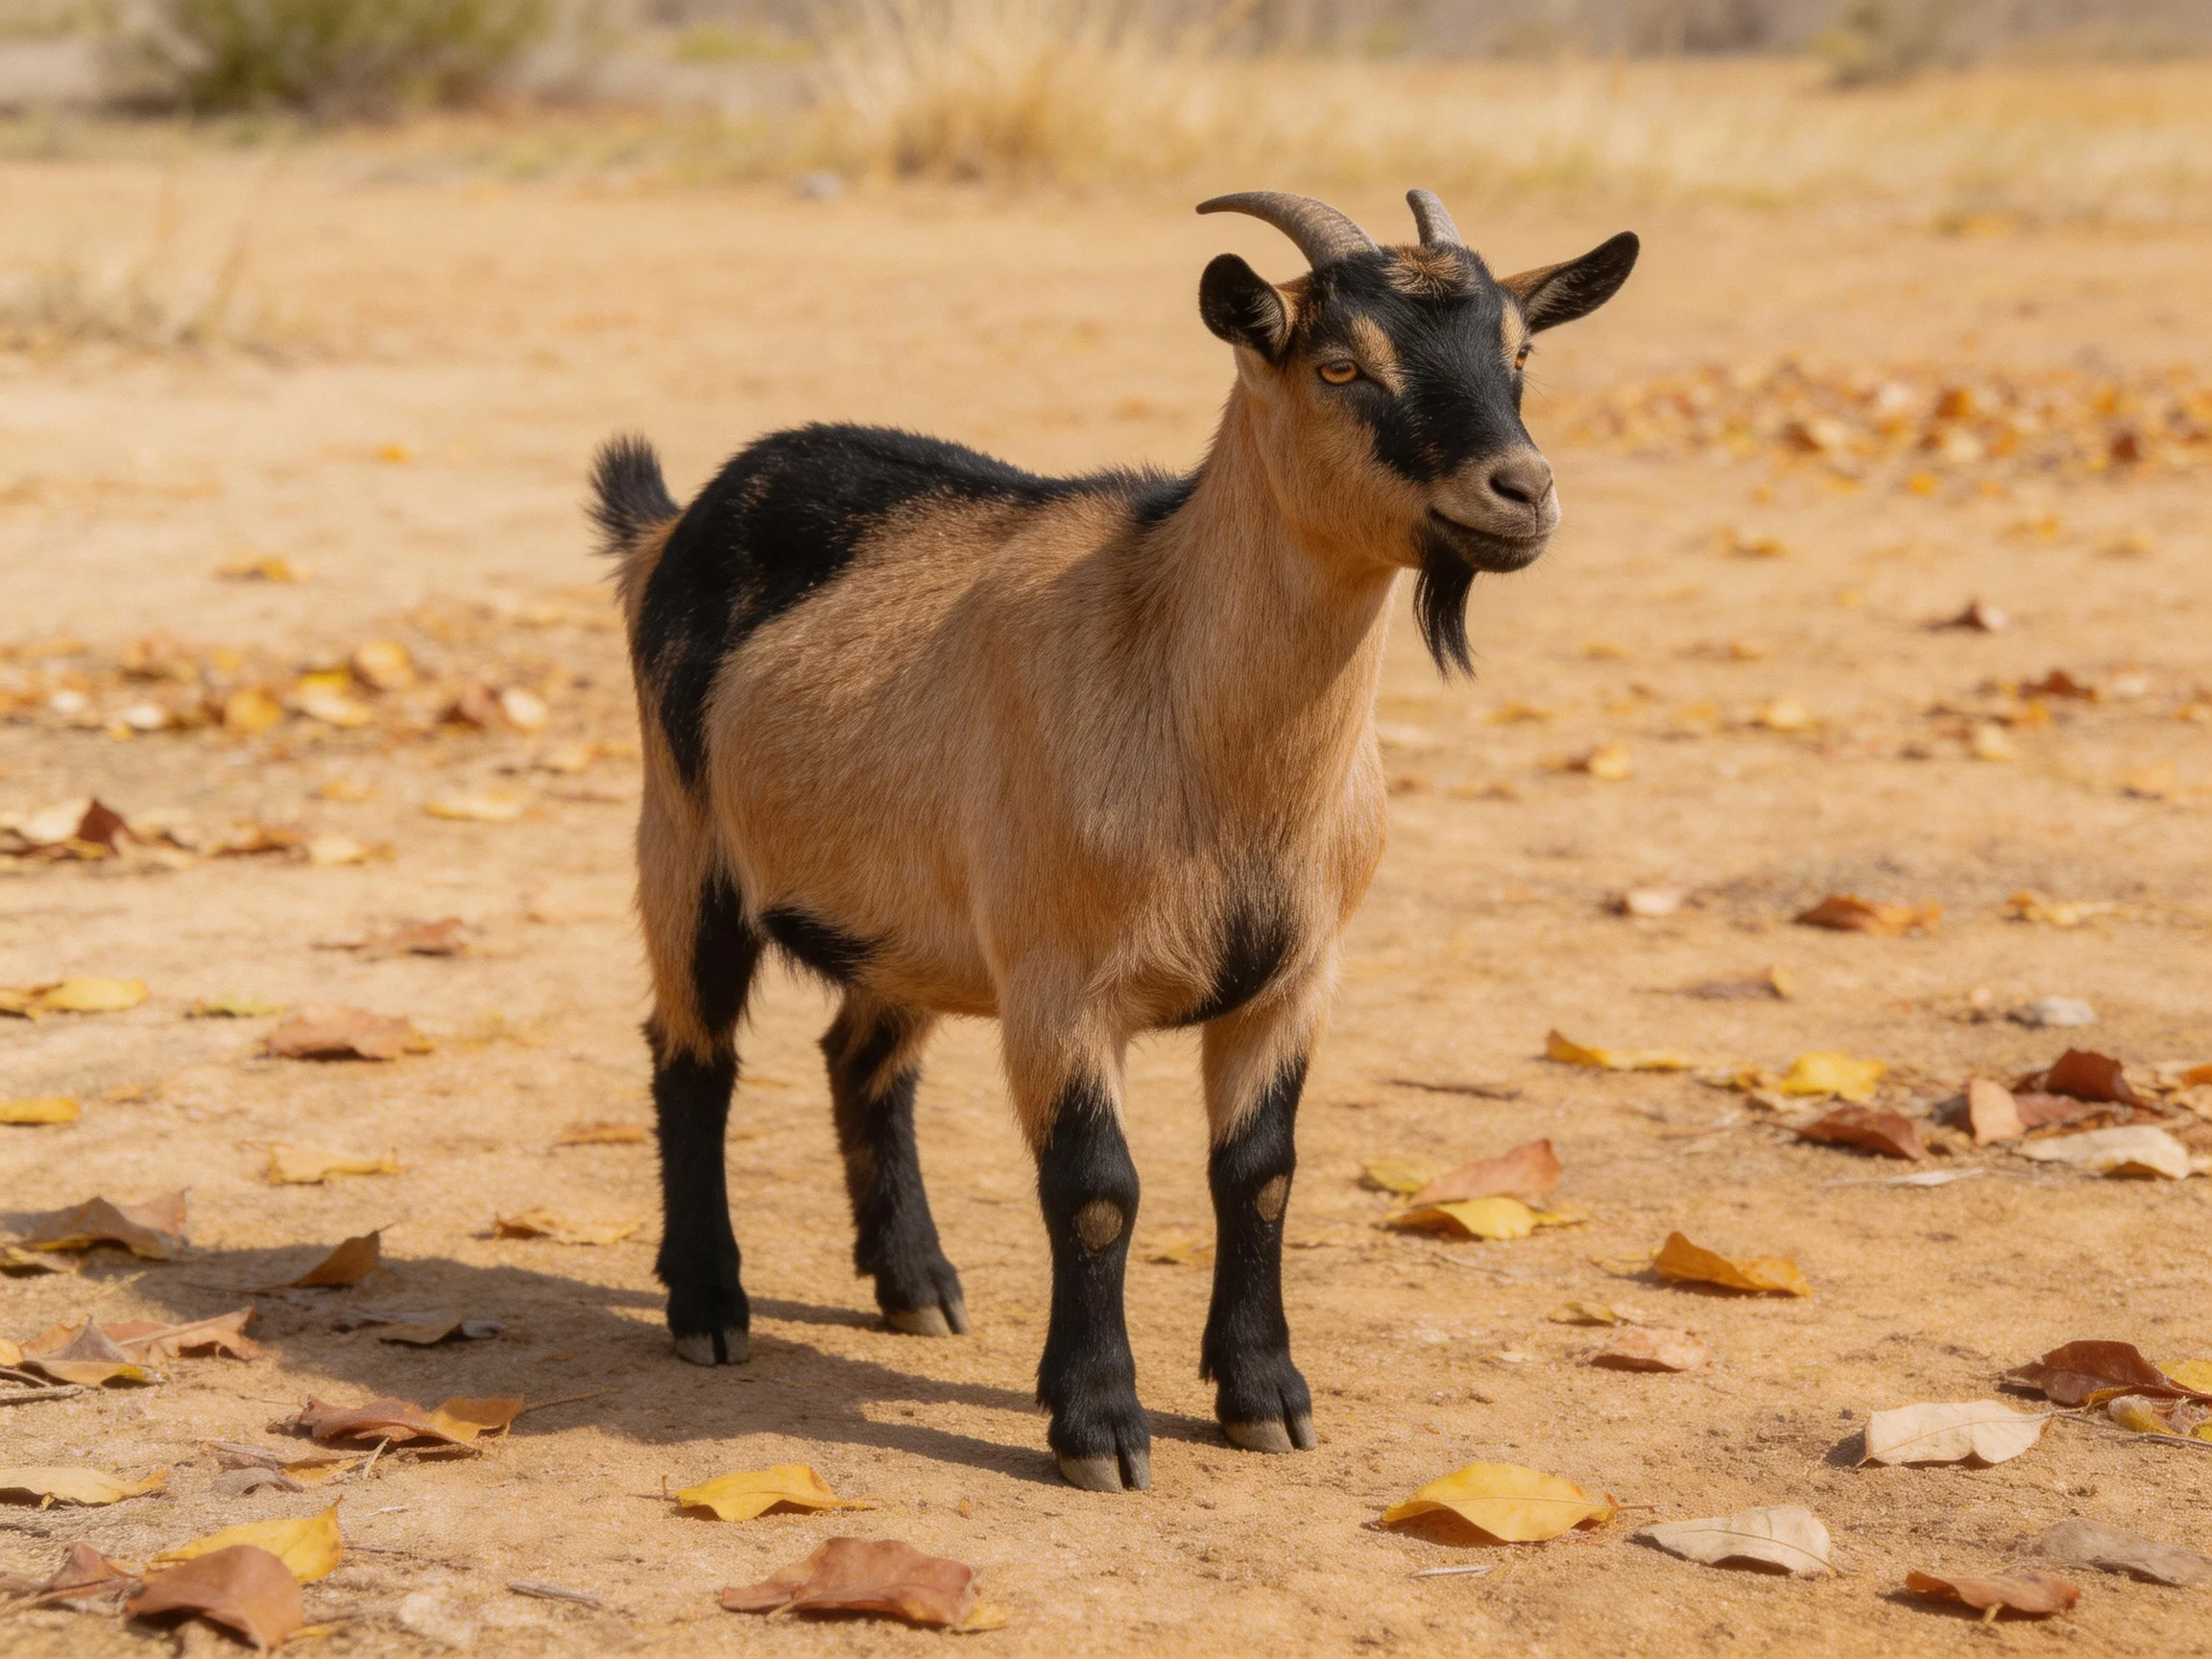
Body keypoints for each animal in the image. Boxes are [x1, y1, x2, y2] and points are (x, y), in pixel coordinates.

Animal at [590, 189, 1636, 1492]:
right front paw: (1098, 1425)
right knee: (692, 1056)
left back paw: (917, 1285)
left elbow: (1261, 1176)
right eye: (1341, 365)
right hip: (686, 847)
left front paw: (1264, 1397)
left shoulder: (1294, 977)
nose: (1522, 490)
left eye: (1522, 354)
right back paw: (709, 1306)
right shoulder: (1061, 983)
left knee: (862, 1059)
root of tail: (673, 524)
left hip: (905, 916)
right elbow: (1095, 1190)